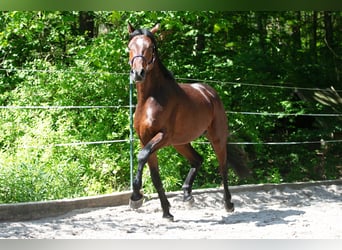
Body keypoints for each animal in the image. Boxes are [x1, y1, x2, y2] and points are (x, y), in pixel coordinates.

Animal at [127, 22, 247, 220]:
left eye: (151, 47)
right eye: (130, 47)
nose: (138, 73)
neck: (150, 99)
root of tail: (209, 92)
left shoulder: (163, 136)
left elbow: (142, 157)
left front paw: (136, 197)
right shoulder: (146, 140)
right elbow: (155, 175)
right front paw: (166, 211)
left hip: (216, 138)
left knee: (223, 167)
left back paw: (228, 204)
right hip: (181, 143)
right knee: (198, 159)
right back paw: (187, 194)